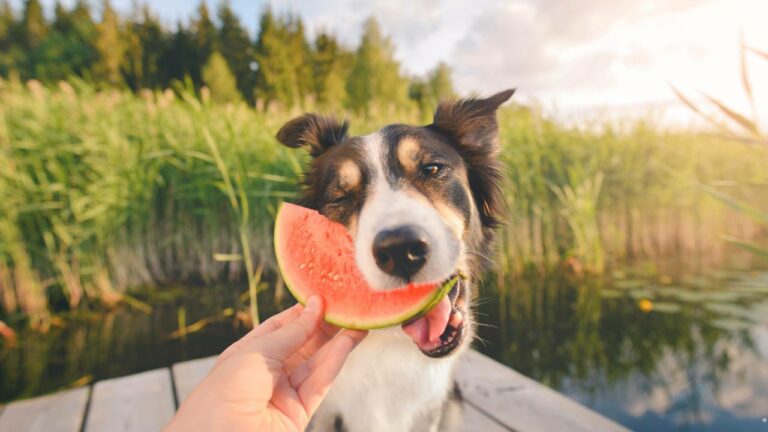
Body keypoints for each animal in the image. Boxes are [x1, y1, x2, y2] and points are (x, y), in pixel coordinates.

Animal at [276, 89, 516, 430]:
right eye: (341, 197)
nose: (401, 250)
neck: (391, 343)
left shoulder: (430, 412)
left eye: (432, 169)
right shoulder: (321, 413)